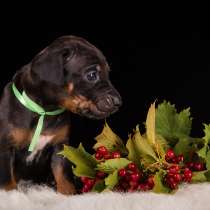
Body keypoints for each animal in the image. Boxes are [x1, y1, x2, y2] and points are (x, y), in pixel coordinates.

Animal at [0, 35, 121, 194]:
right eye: (91, 75)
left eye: (108, 73)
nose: (119, 102)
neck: (44, 111)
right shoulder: (6, 147)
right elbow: (7, 179)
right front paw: (11, 194)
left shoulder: (60, 147)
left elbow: (63, 175)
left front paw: (68, 193)